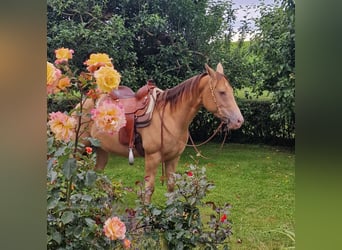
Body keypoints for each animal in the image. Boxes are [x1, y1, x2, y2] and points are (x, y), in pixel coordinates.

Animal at [76, 63, 244, 203]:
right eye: (222, 92)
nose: (239, 121)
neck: (170, 117)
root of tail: (85, 101)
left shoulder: (173, 158)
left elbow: (171, 187)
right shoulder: (152, 157)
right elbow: (149, 189)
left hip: (101, 149)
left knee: (97, 172)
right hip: (79, 146)